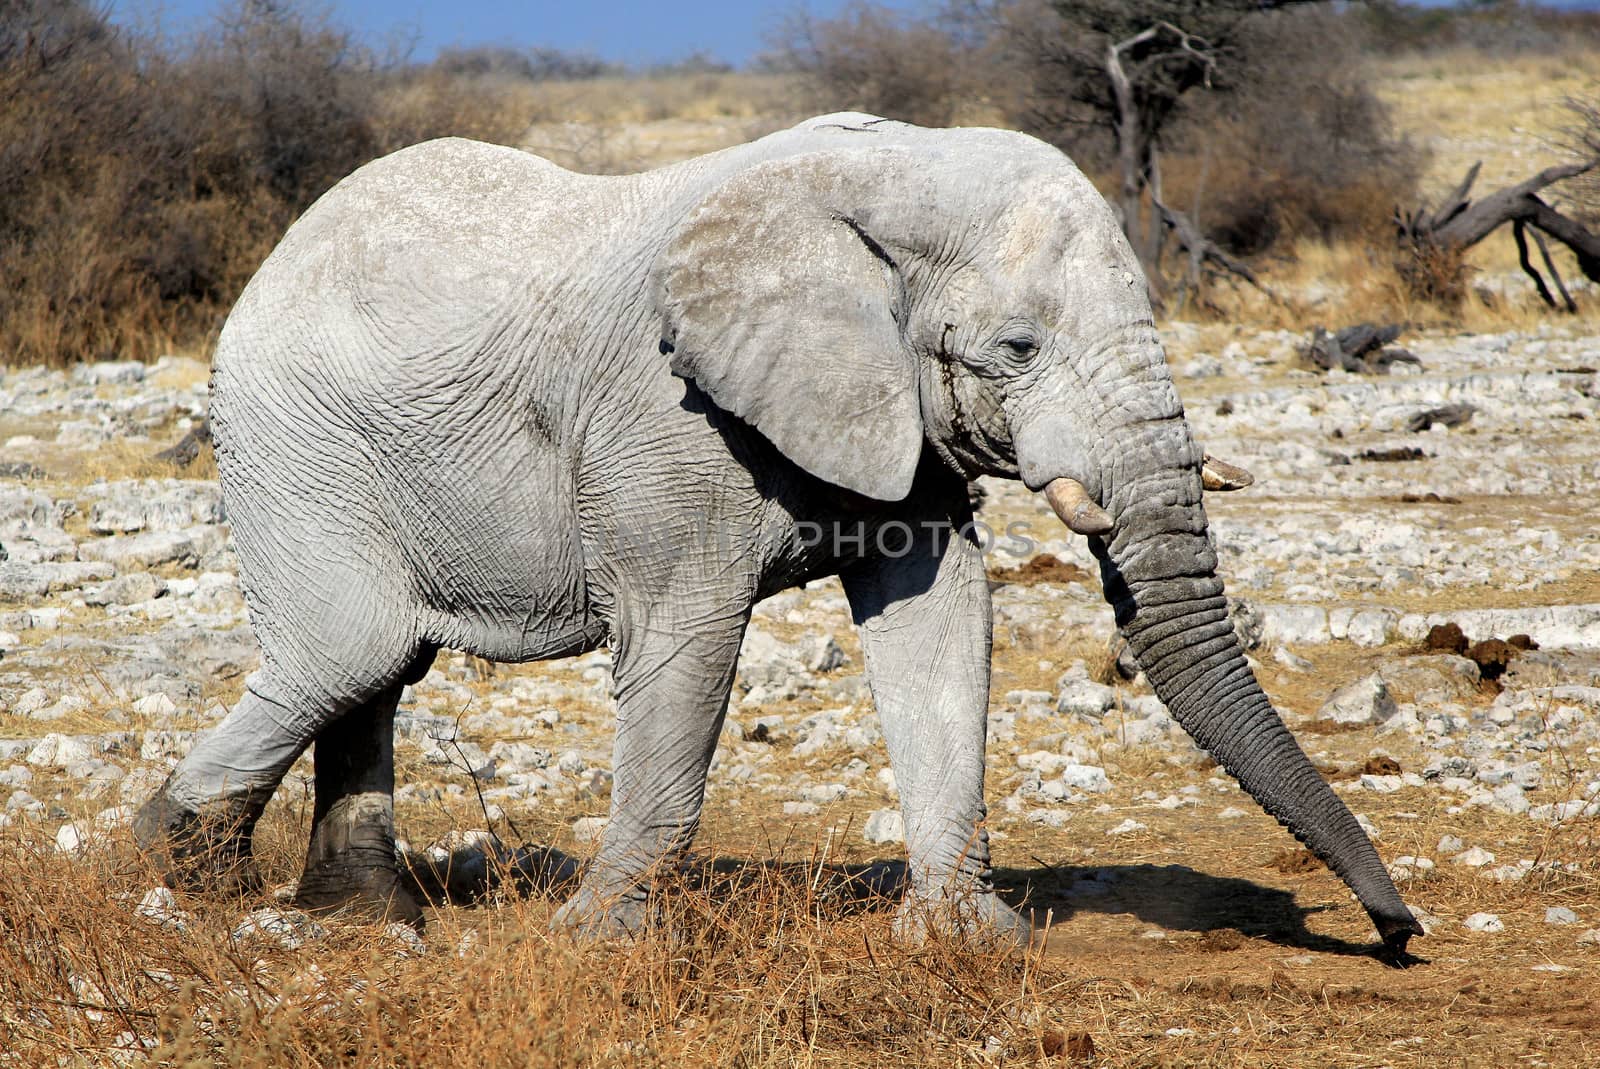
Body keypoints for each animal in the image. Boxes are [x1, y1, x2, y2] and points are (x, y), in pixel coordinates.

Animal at [131, 112, 1420, 953]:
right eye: (1016, 349)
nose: (1398, 929)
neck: (882, 176)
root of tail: (276, 255)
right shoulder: (666, 416)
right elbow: (685, 644)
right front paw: (598, 945)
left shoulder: (894, 413)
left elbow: (941, 619)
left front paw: (966, 939)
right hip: (291, 440)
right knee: (355, 649)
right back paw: (169, 865)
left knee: (378, 666)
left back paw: (360, 915)